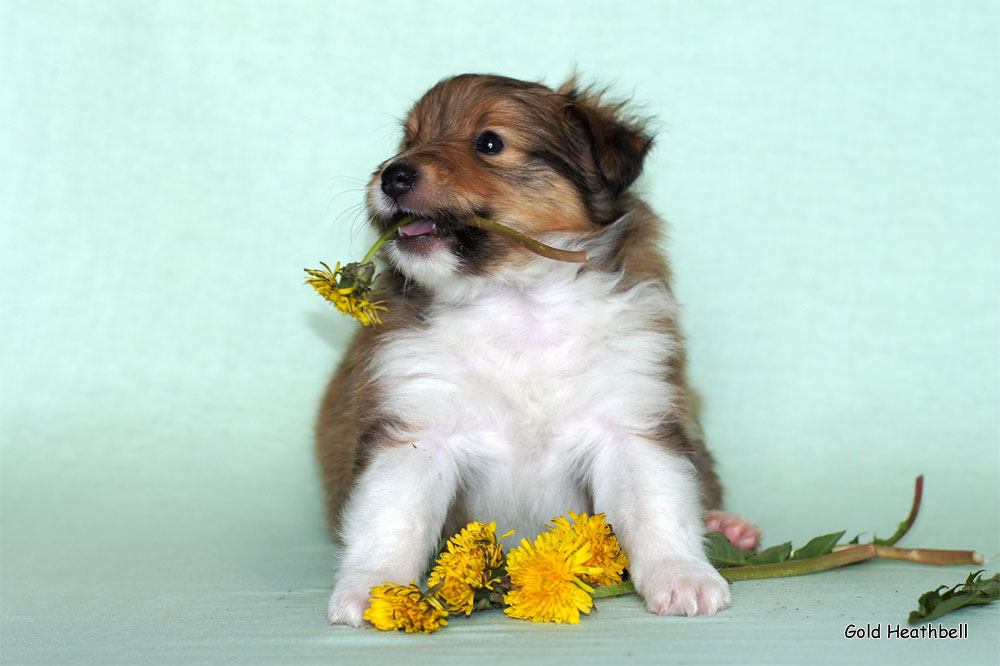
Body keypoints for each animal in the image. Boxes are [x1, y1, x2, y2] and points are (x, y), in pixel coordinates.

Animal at [316, 74, 760, 624]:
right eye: (408, 141)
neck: (518, 298)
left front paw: (684, 578)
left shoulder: (628, 418)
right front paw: (377, 592)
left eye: (490, 143)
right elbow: (392, 517)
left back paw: (729, 526)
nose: (393, 175)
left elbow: (658, 505)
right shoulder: (419, 426)